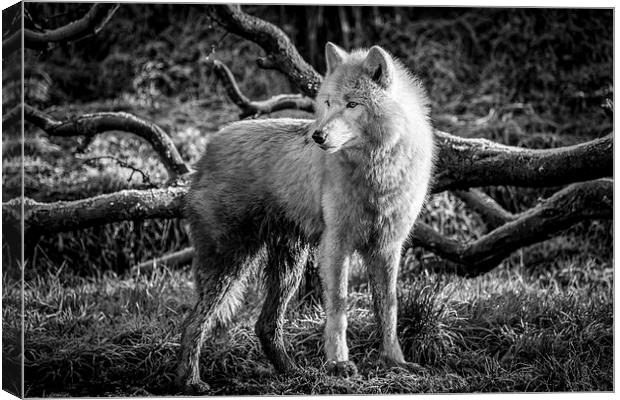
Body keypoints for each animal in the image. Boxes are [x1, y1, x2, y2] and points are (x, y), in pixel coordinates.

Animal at [177, 42, 434, 392]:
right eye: (327, 103)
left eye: (352, 104)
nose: (317, 136)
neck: (377, 173)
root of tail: (206, 150)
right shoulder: (336, 244)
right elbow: (338, 305)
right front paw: (338, 364)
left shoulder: (386, 248)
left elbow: (389, 308)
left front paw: (395, 362)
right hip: (231, 265)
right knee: (193, 323)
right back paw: (190, 381)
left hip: (288, 267)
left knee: (264, 325)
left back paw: (293, 373)